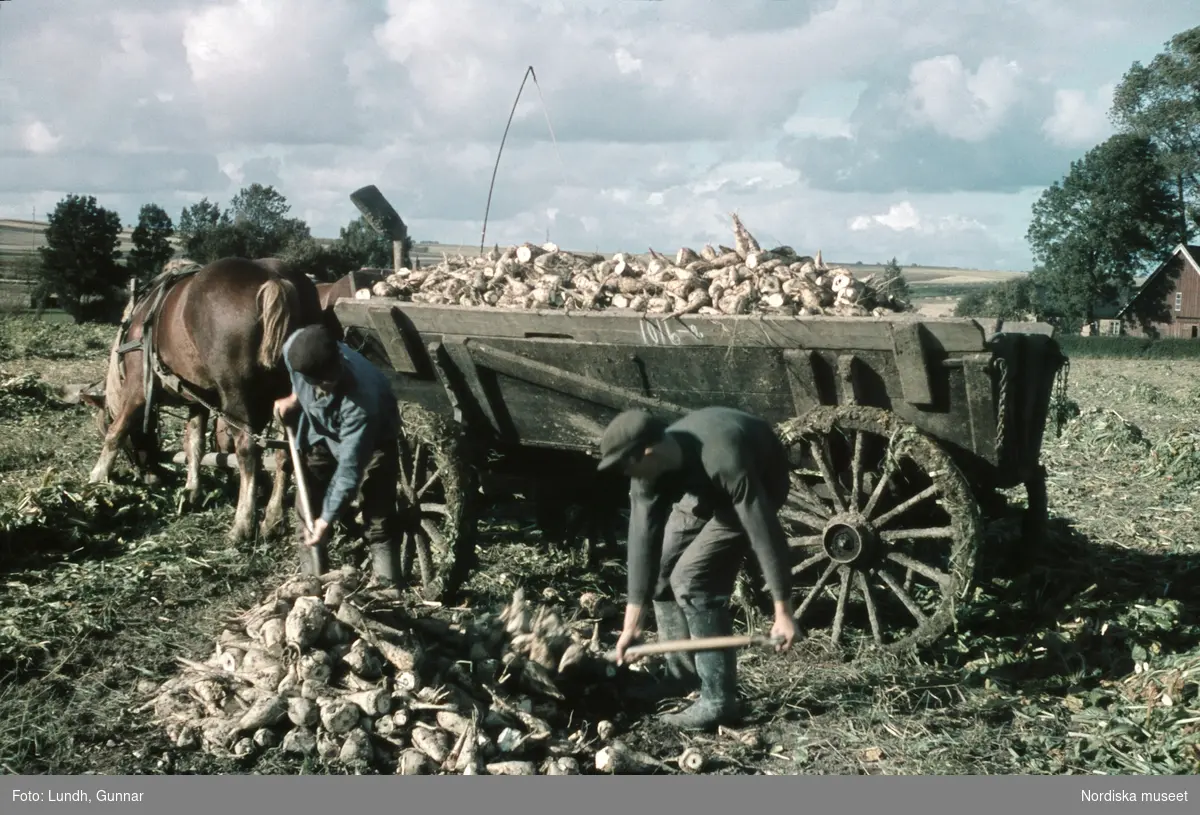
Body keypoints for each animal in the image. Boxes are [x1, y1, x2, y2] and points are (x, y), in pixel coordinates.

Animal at [83, 258, 328, 544]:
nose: (150, 477)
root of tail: (274, 279)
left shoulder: (137, 388)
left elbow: (117, 431)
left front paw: (97, 478)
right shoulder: (198, 400)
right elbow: (194, 443)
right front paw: (192, 490)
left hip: (237, 397)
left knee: (248, 451)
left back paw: (242, 524)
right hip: (289, 397)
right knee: (285, 454)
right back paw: (272, 520)